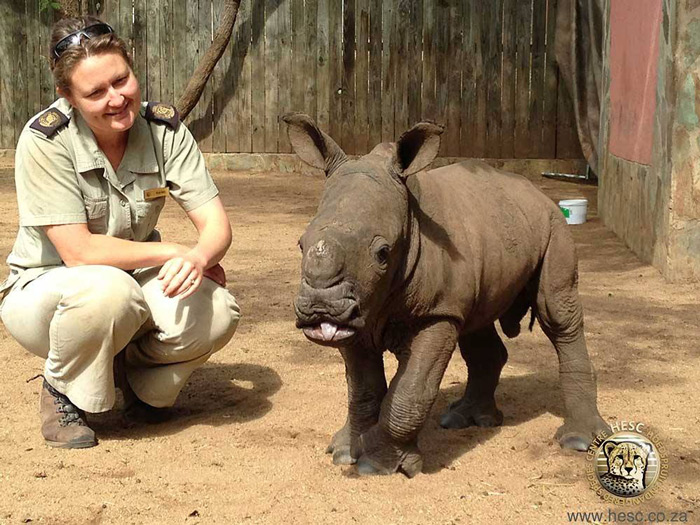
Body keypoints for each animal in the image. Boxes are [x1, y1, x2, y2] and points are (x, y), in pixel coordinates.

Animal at [284, 113, 608, 474]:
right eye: (301, 244)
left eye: (383, 253)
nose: (321, 307)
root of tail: (535, 191)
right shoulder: (358, 314)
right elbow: (362, 390)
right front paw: (345, 452)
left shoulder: (437, 312)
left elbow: (410, 392)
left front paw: (377, 465)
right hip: (496, 233)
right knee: (477, 325)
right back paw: (466, 419)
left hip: (553, 227)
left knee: (558, 315)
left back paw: (578, 441)